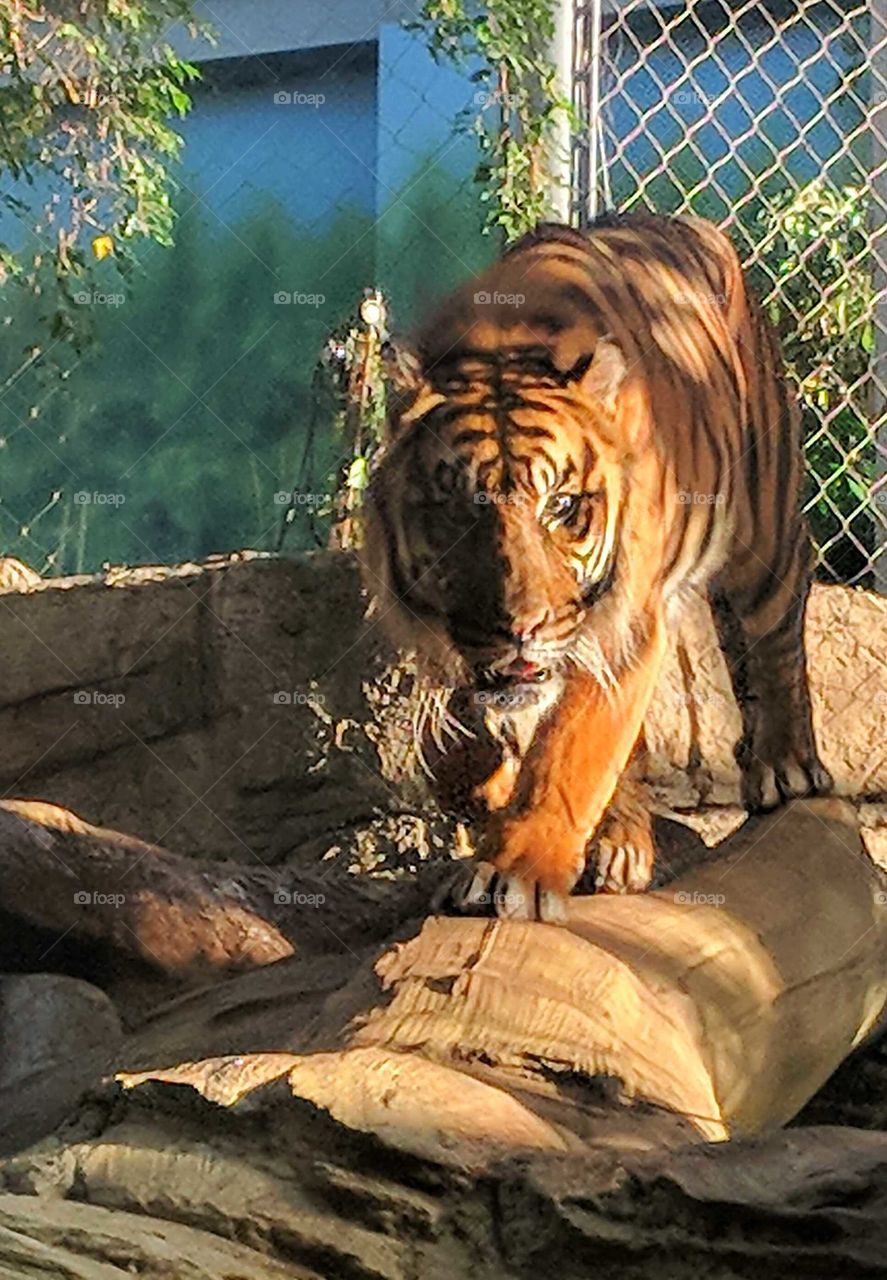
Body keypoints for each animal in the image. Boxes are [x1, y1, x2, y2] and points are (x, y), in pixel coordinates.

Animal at [358, 215, 829, 926]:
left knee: (778, 625)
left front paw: (512, 871)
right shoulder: (446, 635)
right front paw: (490, 790)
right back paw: (621, 841)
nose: (521, 627)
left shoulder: (622, 624)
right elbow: (461, 738)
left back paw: (788, 766)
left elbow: (570, 752)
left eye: (561, 506)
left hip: (762, 526)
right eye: (460, 508)